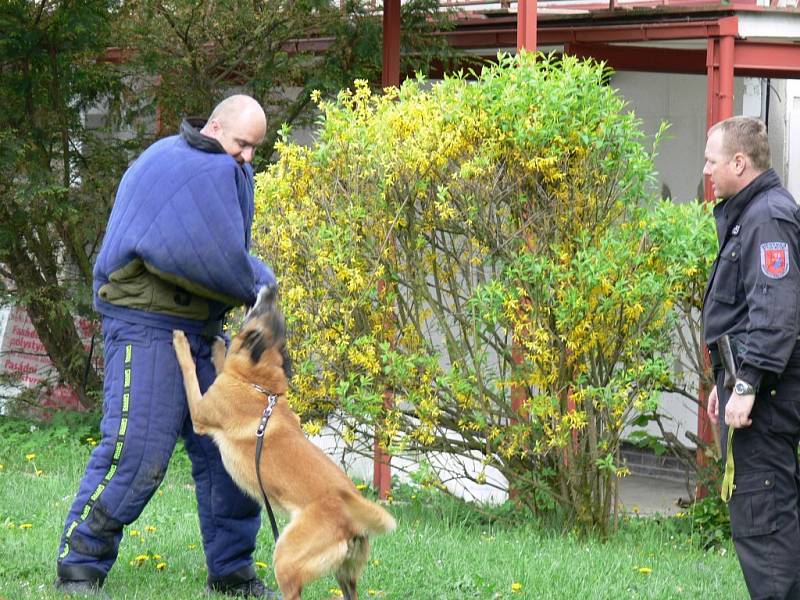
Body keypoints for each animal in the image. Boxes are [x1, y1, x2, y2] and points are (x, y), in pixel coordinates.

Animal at [172, 288, 394, 596]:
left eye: (260, 310)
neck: (260, 386)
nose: (270, 289)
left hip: (285, 557)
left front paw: (181, 344)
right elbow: (223, 360)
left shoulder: (200, 413)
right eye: (271, 311)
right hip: (344, 575)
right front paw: (218, 347)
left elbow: (190, 371)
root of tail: (352, 520)